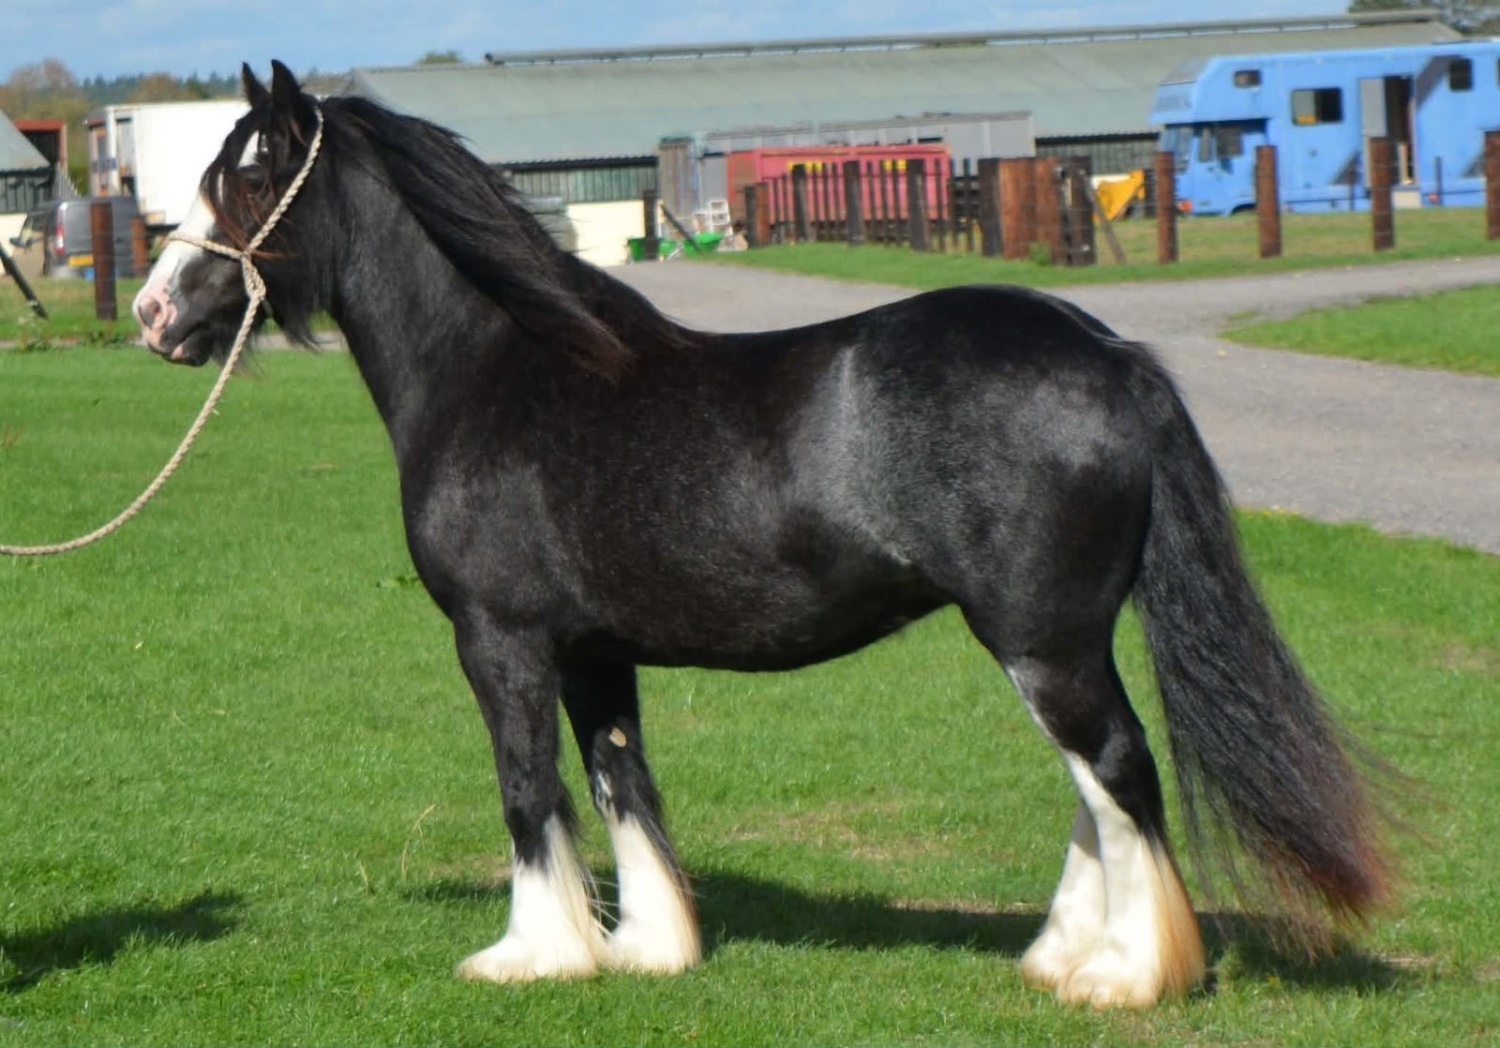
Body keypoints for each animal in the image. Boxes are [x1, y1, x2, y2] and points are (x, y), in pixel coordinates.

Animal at [131, 61, 1392, 1009]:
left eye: (250, 174)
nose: (153, 311)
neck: (501, 371)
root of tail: (1110, 353)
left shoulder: (503, 641)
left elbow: (528, 788)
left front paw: (530, 954)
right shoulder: (595, 653)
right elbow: (621, 780)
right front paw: (646, 947)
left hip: (1045, 639)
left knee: (1118, 771)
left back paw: (1127, 974)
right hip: (1047, 642)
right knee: (1093, 785)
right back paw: (1058, 956)